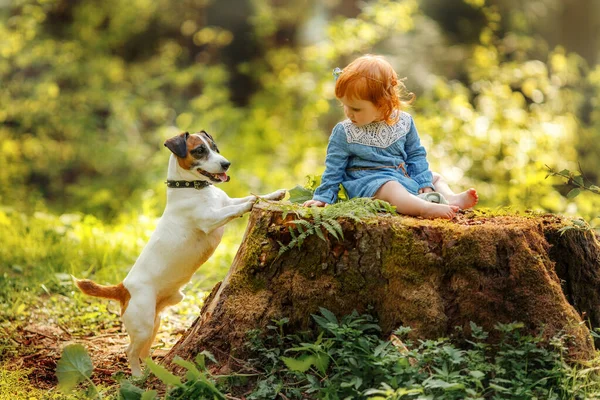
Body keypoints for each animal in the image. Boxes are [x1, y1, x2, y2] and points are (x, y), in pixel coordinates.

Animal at [75, 131, 286, 376]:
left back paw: (155, 370)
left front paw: (275, 194)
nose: (226, 164)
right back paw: (137, 377)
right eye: (199, 151)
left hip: (154, 322)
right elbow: (237, 207)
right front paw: (253, 202)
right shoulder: (210, 219)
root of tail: (123, 288)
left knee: (143, 352)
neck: (194, 188)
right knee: (130, 351)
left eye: (215, 147)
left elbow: (246, 199)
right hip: (143, 325)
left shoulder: (226, 201)